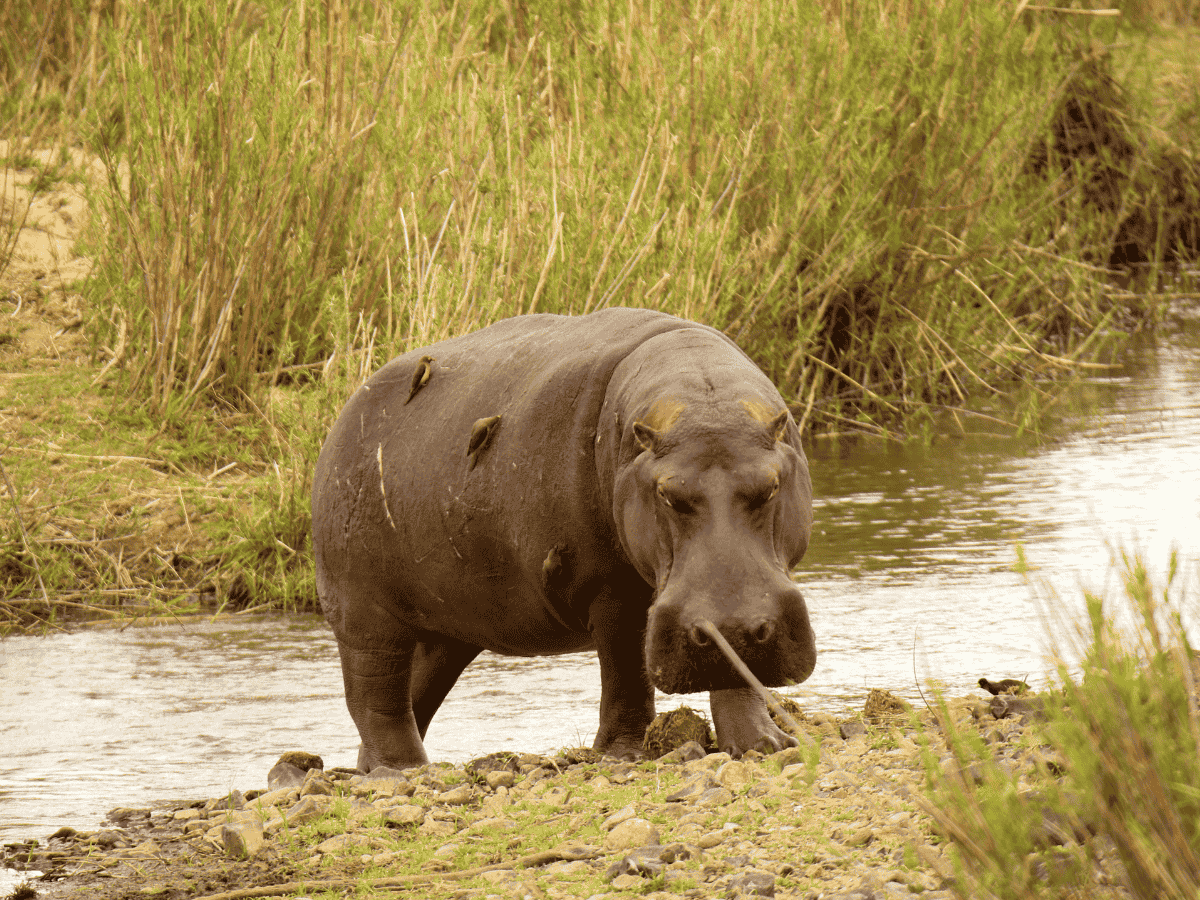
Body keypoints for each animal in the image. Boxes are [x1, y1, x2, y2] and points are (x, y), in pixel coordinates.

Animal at [312, 307, 816, 770]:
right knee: (376, 696)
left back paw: (376, 769)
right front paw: (624, 754)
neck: (703, 398)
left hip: (447, 628)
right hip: (364, 614)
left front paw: (765, 745)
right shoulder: (612, 587)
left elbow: (733, 667)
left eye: (771, 485)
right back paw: (403, 771)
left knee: (411, 692)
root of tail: (343, 413)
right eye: (666, 494)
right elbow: (625, 671)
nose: (732, 626)